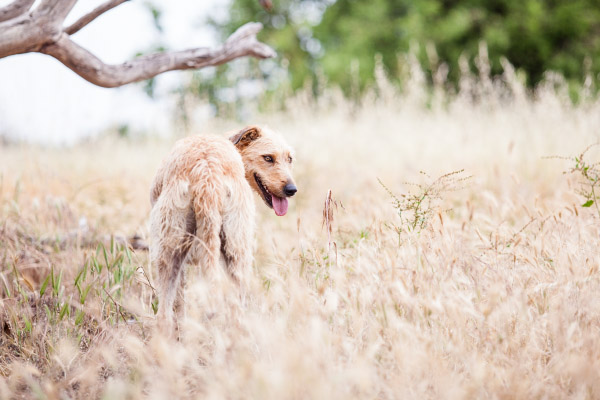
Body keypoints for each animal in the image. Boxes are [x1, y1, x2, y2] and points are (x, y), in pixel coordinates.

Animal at [146, 125, 294, 332]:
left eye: (289, 159)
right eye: (268, 158)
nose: (292, 190)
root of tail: (207, 172)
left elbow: (180, 303)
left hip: (170, 253)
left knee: (164, 316)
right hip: (236, 250)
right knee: (236, 312)